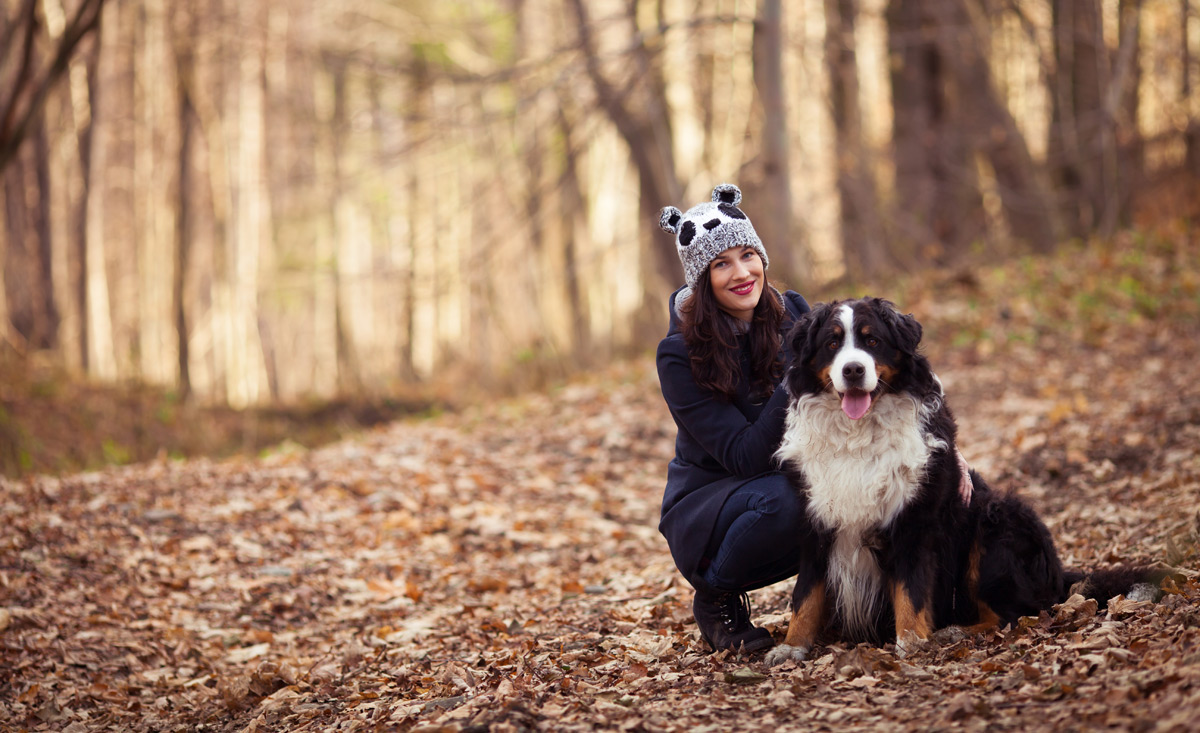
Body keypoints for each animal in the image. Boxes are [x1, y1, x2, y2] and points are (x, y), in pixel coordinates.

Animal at [763, 296, 1156, 667]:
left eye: (872, 340)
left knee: (1012, 614)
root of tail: (1059, 574)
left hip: (997, 522)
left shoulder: (914, 523)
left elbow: (911, 590)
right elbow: (806, 595)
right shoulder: (817, 523)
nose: (854, 369)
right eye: (832, 344)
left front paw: (911, 642)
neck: (857, 437)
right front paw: (791, 647)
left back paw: (953, 631)